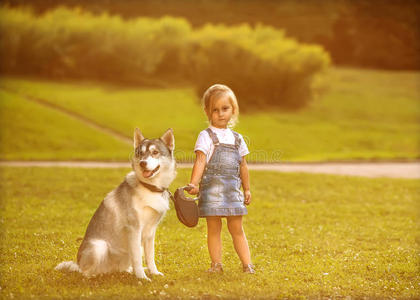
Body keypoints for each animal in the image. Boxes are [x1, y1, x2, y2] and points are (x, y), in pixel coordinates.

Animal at [55, 127, 176, 280]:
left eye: (155, 152)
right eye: (140, 153)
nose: (142, 163)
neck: (150, 188)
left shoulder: (150, 232)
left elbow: (150, 256)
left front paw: (154, 273)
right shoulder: (134, 229)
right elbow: (137, 258)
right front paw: (142, 278)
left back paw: (126, 271)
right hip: (99, 246)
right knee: (85, 272)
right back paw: (93, 276)